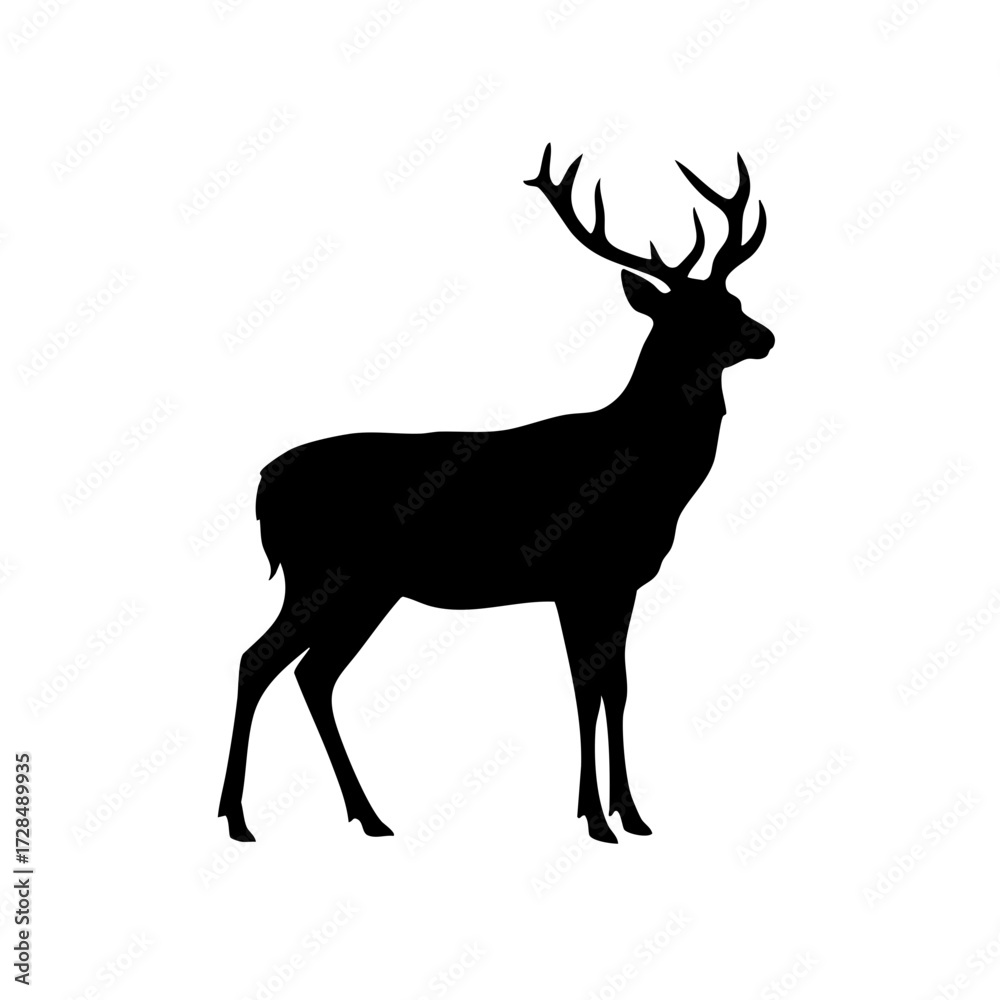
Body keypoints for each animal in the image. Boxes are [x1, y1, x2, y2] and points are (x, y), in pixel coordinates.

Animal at [218, 143, 773, 845]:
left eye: (732, 298)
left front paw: (632, 813)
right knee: (257, 659)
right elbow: (586, 689)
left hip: (368, 587)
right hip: (324, 570)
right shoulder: (578, 576)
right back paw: (238, 817)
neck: (647, 476)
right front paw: (595, 817)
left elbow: (617, 688)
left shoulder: (619, 581)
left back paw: (368, 815)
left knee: (313, 674)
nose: (764, 337)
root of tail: (264, 485)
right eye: (685, 314)